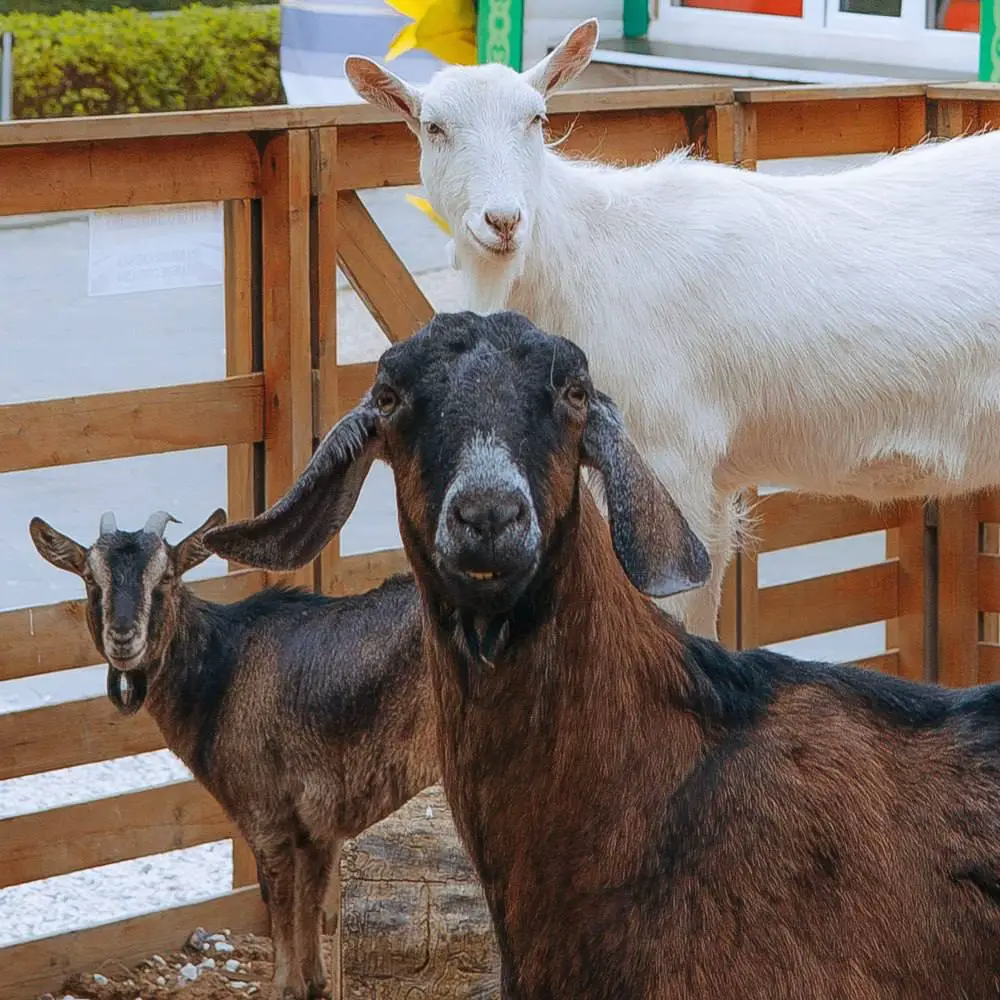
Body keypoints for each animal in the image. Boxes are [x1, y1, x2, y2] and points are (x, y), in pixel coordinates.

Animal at [26, 512, 434, 996]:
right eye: (91, 579)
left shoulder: (264, 811)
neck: (223, 671)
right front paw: (315, 981)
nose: (123, 638)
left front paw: (283, 986)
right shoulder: (321, 822)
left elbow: (279, 902)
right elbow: (312, 902)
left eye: (166, 578)